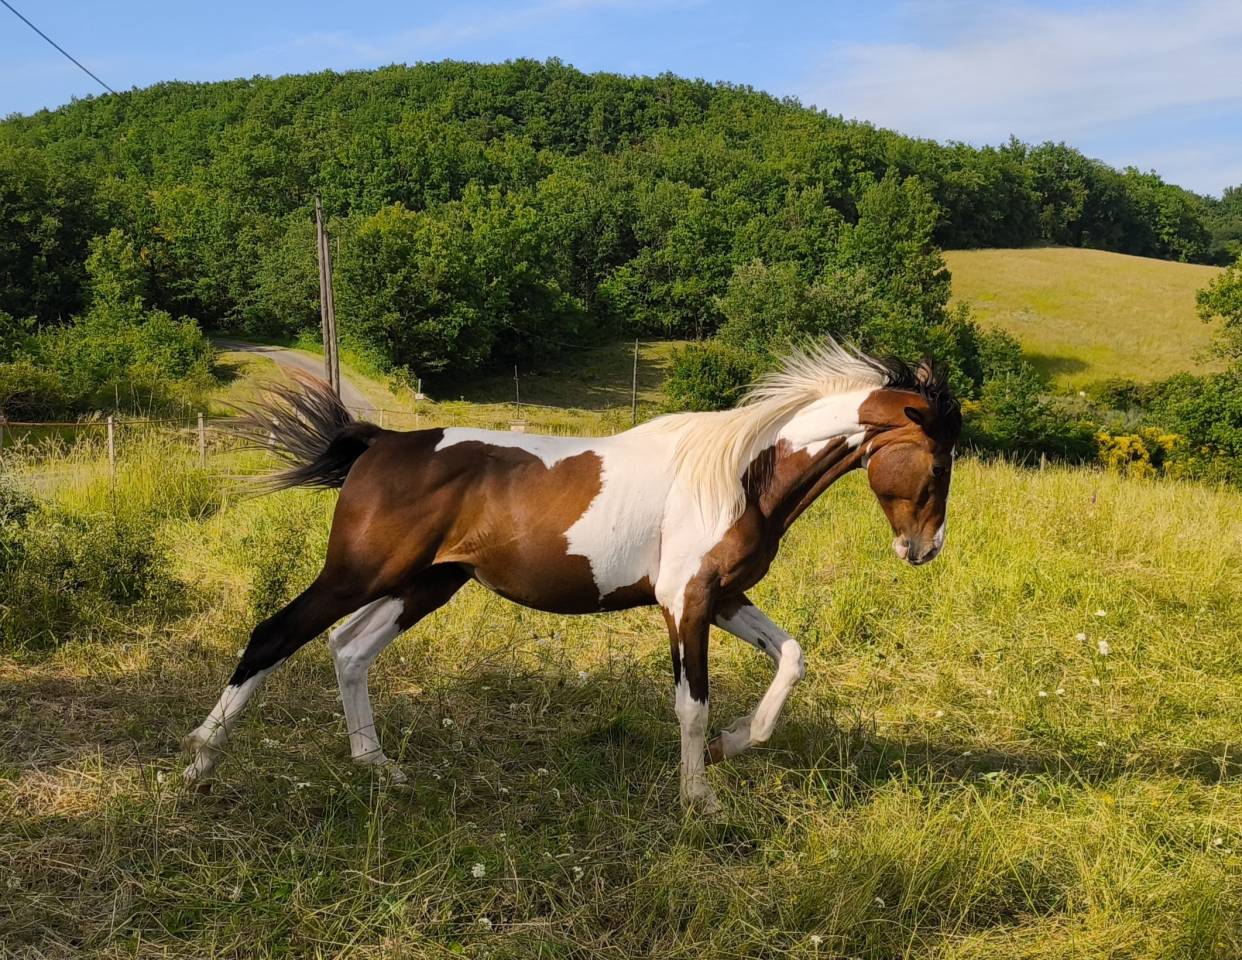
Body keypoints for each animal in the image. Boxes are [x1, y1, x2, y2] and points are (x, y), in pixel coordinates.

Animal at [183, 342, 961, 811]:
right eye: (937, 457)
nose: (924, 550)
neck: (738, 475)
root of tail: (380, 442)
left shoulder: (724, 597)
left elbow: (791, 658)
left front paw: (735, 744)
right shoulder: (686, 604)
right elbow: (691, 704)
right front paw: (699, 799)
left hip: (423, 585)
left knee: (347, 650)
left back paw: (377, 767)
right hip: (360, 573)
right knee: (274, 635)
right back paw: (197, 765)